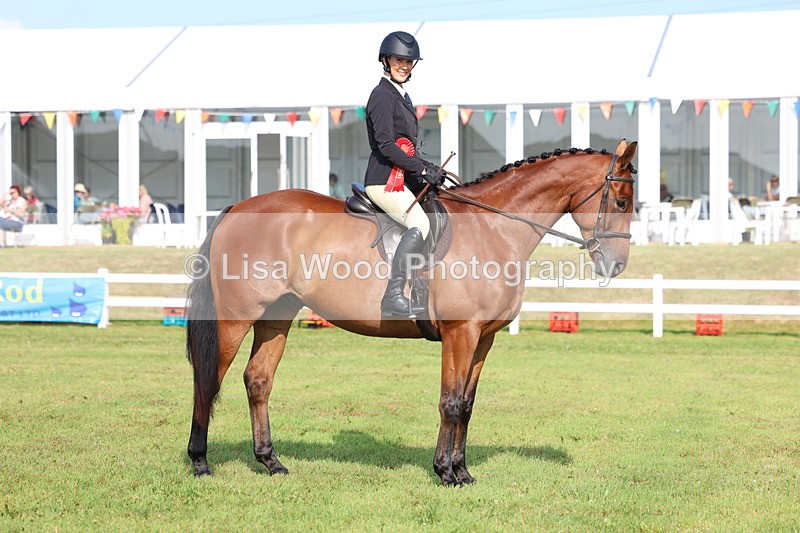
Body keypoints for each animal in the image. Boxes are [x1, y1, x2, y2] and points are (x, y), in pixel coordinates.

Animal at [186, 139, 638, 486]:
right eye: (620, 201)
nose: (616, 265)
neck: (491, 228)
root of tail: (238, 208)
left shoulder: (483, 338)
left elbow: (467, 404)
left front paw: (463, 472)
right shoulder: (460, 333)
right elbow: (450, 402)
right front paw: (445, 473)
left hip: (277, 315)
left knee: (258, 380)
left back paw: (271, 462)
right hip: (235, 319)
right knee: (208, 381)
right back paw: (200, 461)